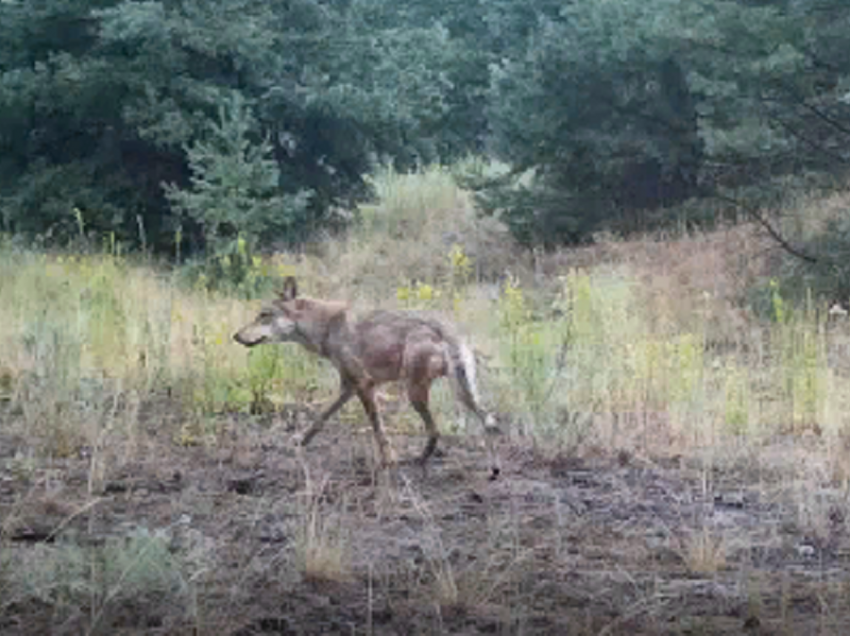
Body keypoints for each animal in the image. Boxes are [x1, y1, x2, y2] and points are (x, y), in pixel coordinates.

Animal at [232, 278, 496, 476]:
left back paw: (417, 461)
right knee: (487, 423)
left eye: (264, 315)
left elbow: (377, 427)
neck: (326, 327)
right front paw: (299, 441)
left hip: (417, 393)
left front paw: (388, 461)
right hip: (459, 394)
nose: (235, 336)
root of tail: (446, 329)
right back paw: (491, 469)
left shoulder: (364, 384)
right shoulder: (347, 387)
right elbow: (320, 418)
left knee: (437, 431)